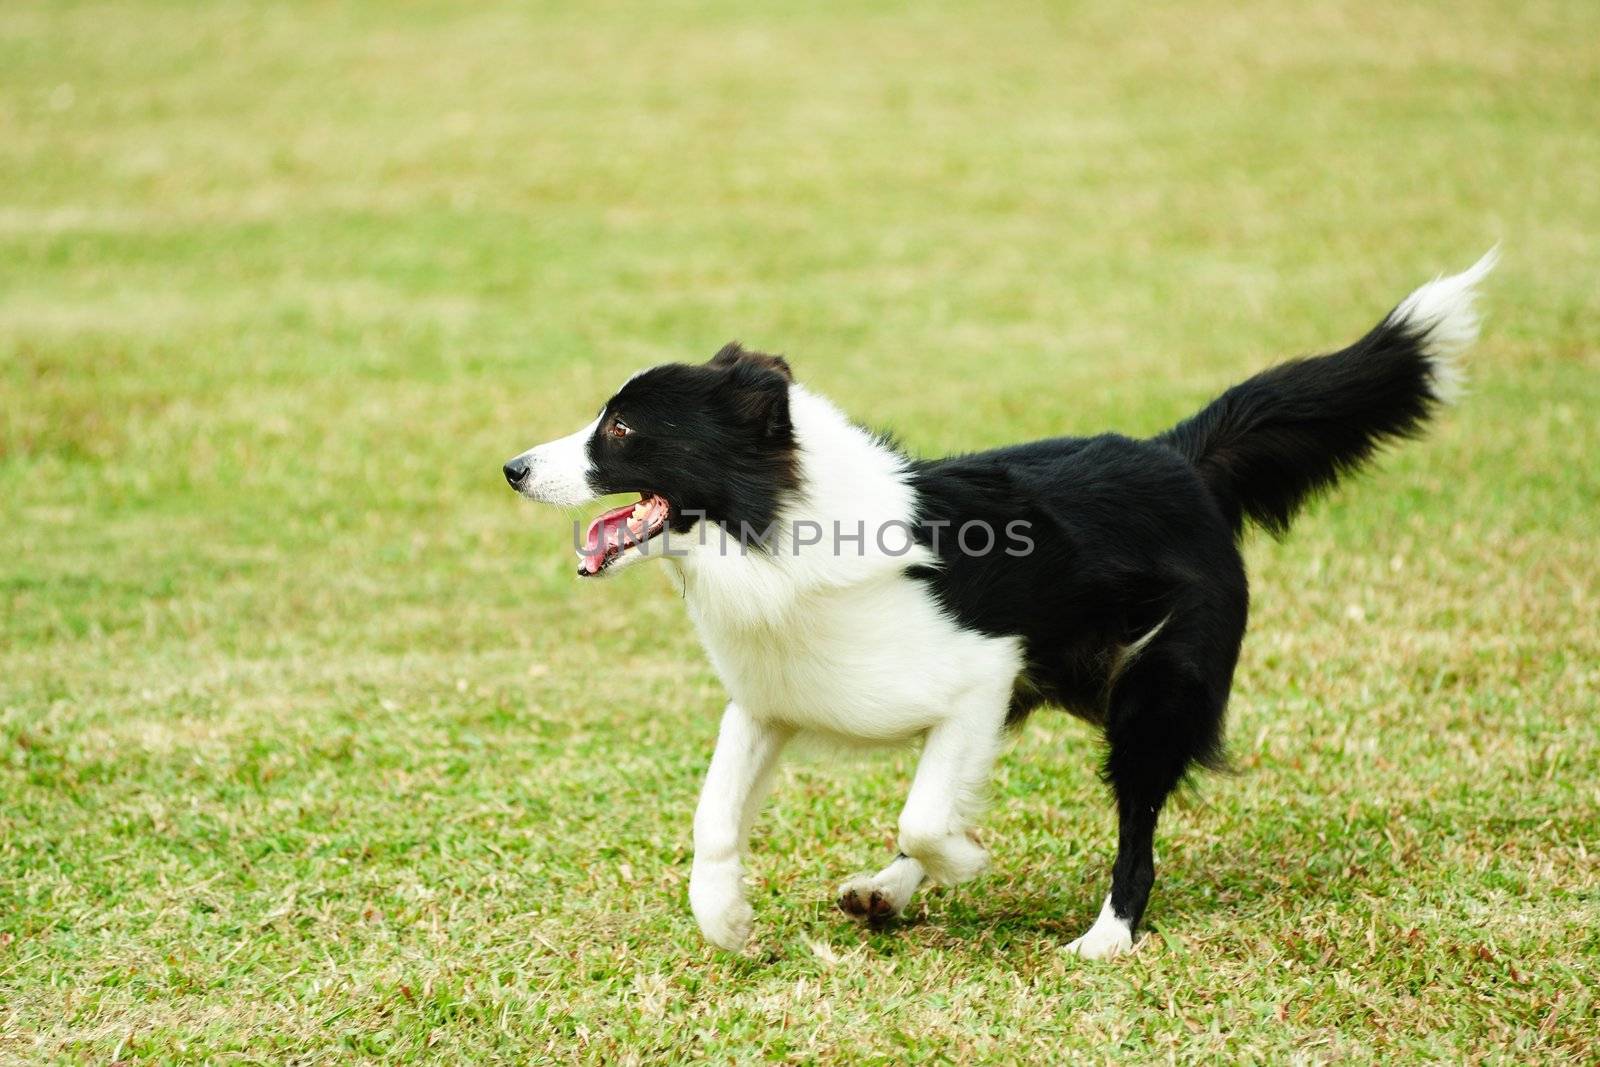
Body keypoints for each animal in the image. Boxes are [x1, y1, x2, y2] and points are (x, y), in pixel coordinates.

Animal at [505, 252, 1491, 959]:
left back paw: (1106, 936)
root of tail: (1176, 457)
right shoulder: (771, 701)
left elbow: (926, 815)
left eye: (622, 428)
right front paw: (729, 922)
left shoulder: (981, 675)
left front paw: (969, 862)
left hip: (1153, 692)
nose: (512, 467)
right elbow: (714, 818)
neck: (776, 527)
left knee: (1137, 822)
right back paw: (886, 890)